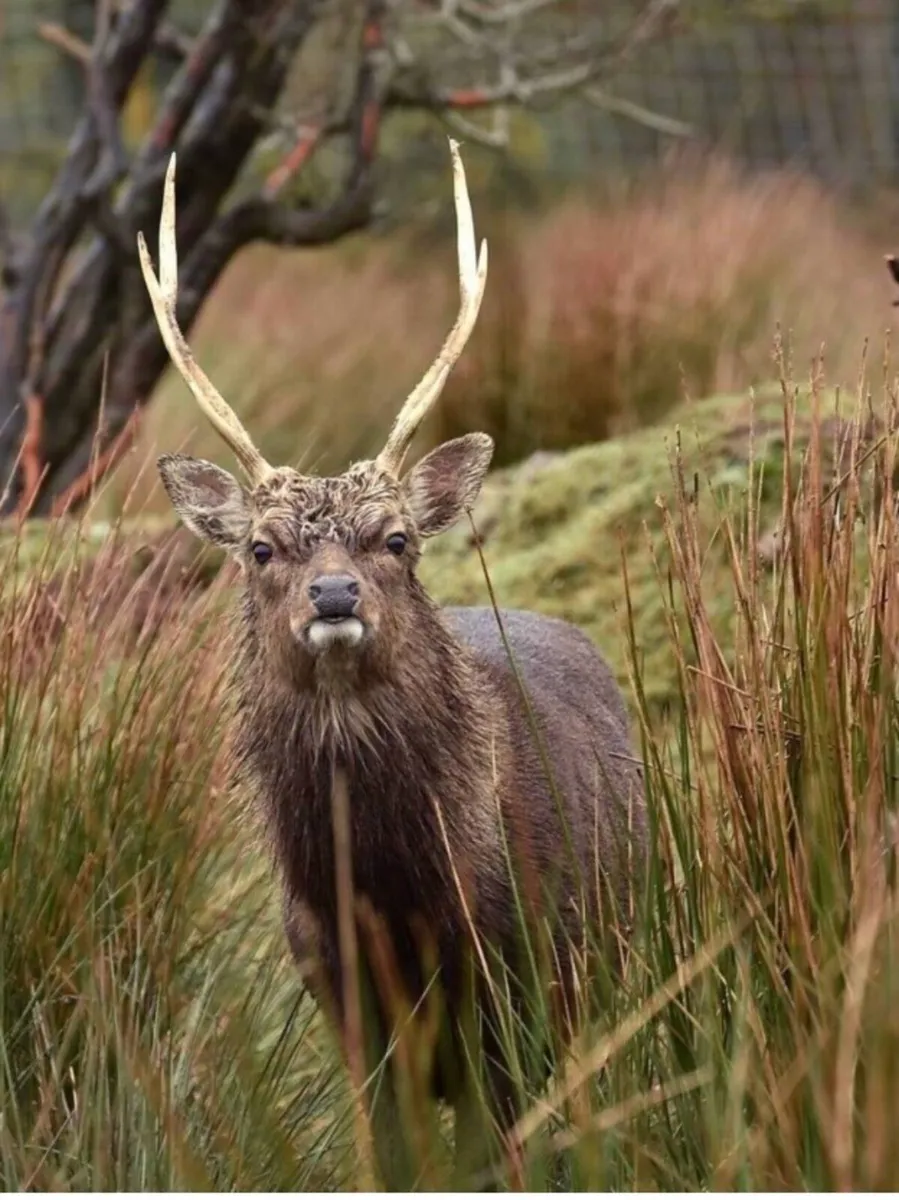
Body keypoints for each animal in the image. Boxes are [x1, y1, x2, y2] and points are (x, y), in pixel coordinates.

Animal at [137, 141, 647, 1190]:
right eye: (260, 548)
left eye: (398, 539)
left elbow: (495, 1151)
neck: (397, 892)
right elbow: (392, 1152)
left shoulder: (515, 970)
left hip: (612, 946)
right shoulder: (336, 988)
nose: (334, 596)